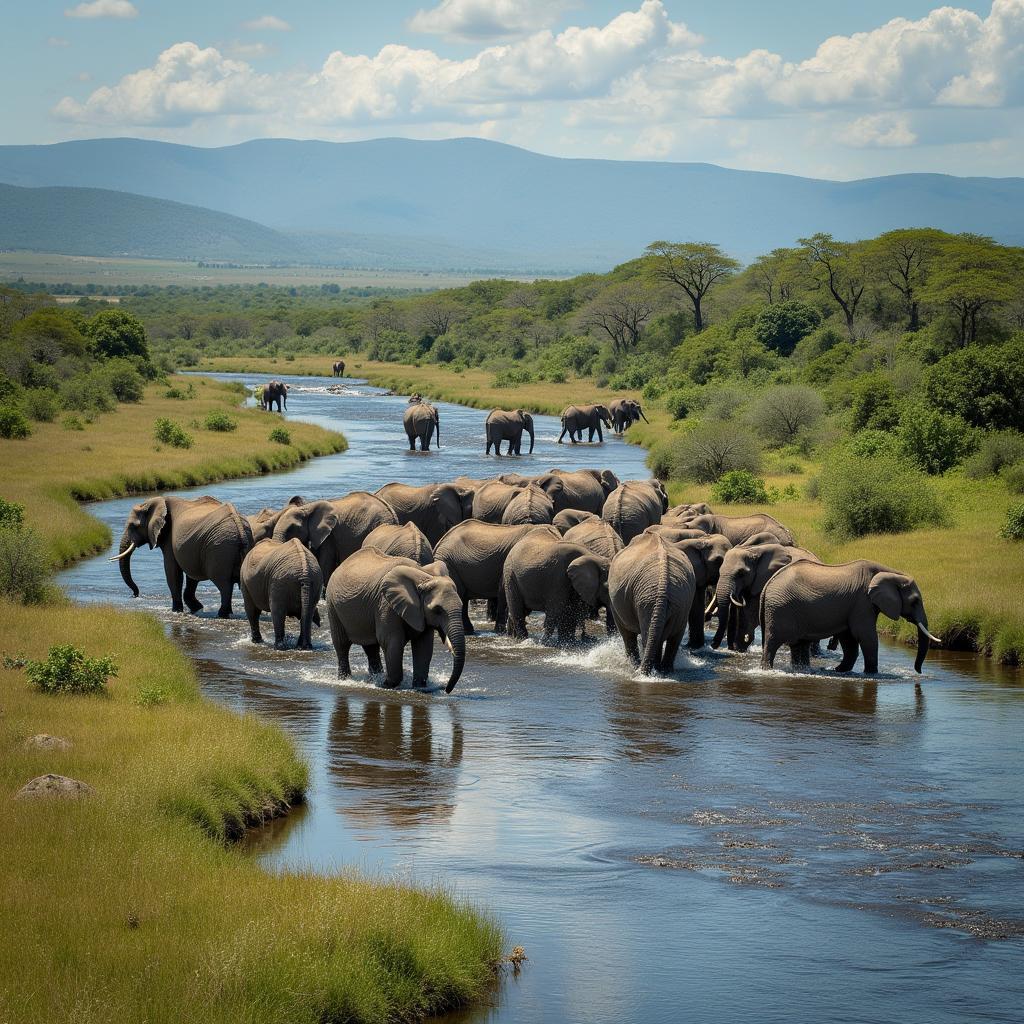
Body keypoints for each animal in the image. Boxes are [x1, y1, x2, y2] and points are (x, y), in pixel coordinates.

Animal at [111, 495, 252, 614]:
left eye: (133, 526)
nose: (135, 595)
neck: (158, 500)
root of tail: (239, 527)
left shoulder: (169, 537)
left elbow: (172, 571)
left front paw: (176, 611)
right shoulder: (192, 546)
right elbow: (191, 575)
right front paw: (197, 608)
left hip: (220, 549)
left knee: (224, 585)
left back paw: (222, 614)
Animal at [323, 548, 464, 692]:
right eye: (437, 610)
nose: (446, 689)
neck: (423, 576)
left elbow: (423, 645)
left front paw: (419, 686)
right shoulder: (386, 604)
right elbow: (391, 640)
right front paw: (386, 685)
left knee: (370, 647)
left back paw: (374, 678)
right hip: (332, 604)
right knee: (342, 644)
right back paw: (346, 680)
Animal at [432, 520, 561, 630]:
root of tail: (440, 542)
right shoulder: (508, 561)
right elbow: (503, 590)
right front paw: (501, 631)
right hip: (449, 563)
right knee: (460, 595)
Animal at [757, 557, 937, 675]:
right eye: (914, 601)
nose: (919, 672)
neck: (893, 573)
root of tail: (767, 585)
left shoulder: (854, 605)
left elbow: (849, 638)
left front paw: (839, 670)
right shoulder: (862, 602)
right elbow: (865, 635)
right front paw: (872, 674)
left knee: (798, 645)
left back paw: (802, 670)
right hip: (780, 609)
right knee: (773, 641)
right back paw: (767, 670)